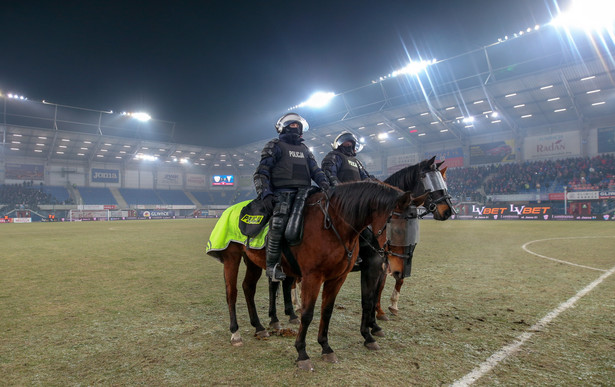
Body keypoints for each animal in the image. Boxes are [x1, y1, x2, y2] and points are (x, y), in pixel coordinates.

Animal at [207, 180, 424, 372]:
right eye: (397, 228)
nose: (402, 270)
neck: (334, 225)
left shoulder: (338, 277)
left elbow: (328, 311)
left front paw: (327, 347)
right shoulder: (314, 276)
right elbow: (308, 313)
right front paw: (302, 353)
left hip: (253, 260)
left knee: (248, 288)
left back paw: (259, 326)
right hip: (232, 257)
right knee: (232, 292)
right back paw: (236, 333)